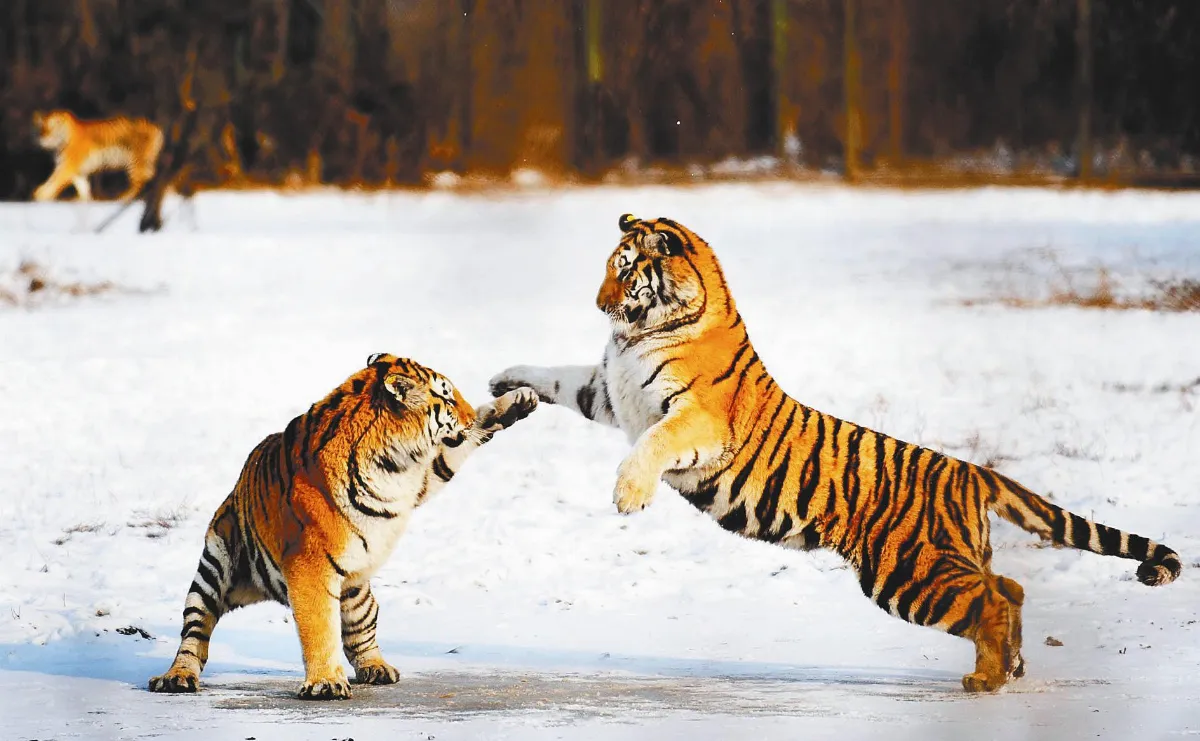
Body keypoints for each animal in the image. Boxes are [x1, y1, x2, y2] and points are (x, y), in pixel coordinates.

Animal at [32, 109, 164, 202]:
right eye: (41, 129)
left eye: (52, 128)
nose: (42, 138)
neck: (59, 145)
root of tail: (155, 127)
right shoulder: (76, 171)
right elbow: (83, 187)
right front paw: (84, 201)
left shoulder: (68, 166)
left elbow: (54, 180)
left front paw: (41, 195)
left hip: (136, 163)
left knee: (139, 184)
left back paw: (121, 199)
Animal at [149, 354, 538, 700]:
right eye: (446, 397)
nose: (468, 414)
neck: (399, 464)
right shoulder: (309, 566)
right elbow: (319, 627)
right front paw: (325, 684)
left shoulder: (424, 477)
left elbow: (460, 447)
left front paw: (517, 401)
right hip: (215, 567)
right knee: (195, 631)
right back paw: (176, 677)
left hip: (357, 589)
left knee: (361, 631)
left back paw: (377, 668)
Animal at [489, 213, 1182, 693]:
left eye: (627, 270)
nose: (600, 304)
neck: (640, 334)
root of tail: (969, 469)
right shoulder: (606, 391)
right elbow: (553, 374)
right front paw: (504, 381)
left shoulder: (695, 422)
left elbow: (653, 444)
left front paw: (628, 494)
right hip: (943, 563)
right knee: (1008, 586)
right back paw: (1007, 669)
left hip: (910, 574)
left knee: (991, 599)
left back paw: (987, 680)